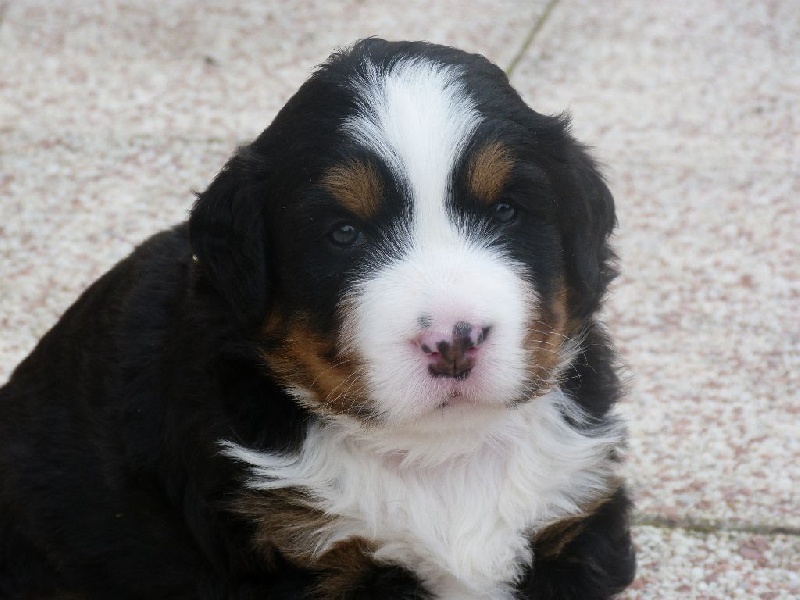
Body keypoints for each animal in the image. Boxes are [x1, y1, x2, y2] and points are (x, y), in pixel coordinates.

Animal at [0, 39, 636, 596]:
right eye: (344, 233)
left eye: (506, 210)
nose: (453, 340)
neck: (439, 459)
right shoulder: (307, 556)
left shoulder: (573, 515)